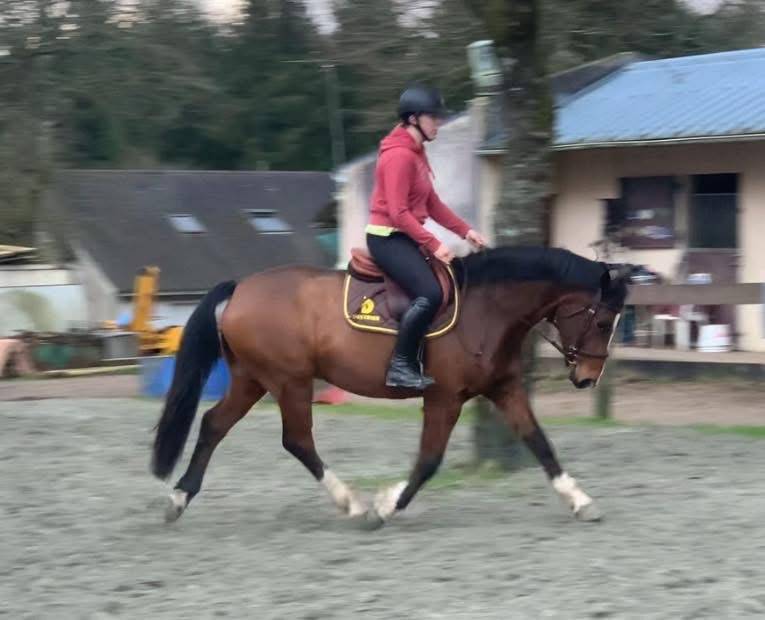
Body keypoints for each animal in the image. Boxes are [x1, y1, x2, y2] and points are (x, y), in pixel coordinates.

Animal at [151, 245, 635, 526]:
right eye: (603, 321)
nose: (587, 378)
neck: (487, 308)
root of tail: (241, 288)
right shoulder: (444, 398)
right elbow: (429, 460)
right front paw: (387, 504)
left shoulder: (504, 389)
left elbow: (539, 443)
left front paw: (579, 500)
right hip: (289, 381)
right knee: (298, 440)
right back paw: (353, 504)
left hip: (253, 378)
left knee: (214, 424)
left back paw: (179, 497)